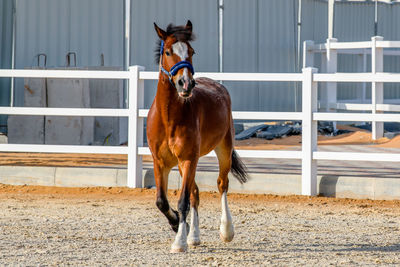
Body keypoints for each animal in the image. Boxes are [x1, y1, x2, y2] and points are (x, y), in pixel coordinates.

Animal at [147, 21, 247, 253]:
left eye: (191, 52)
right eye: (168, 51)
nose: (185, 83)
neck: (169, 117)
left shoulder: (188, 158)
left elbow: (183, 200)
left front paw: (179, 242)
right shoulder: (161, 162)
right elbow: (162, 201)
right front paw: (176, 225)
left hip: (223, 149)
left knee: (221, 184)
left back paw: (226, 230)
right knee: (195, 192)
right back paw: (194, 236)